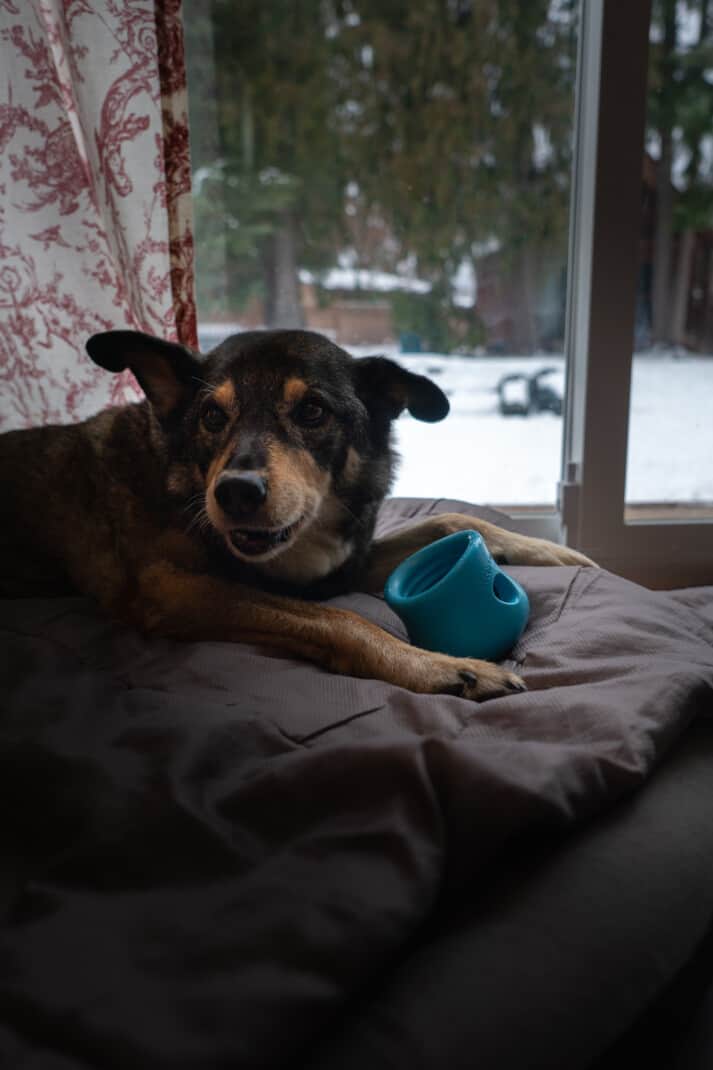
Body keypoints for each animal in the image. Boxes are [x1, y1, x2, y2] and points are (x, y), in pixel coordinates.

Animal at [0, 331, 590, 701]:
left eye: (312, 411)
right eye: (211, 415)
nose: (235, 493)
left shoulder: (338, 568)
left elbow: (448, 523)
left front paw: (556, 551)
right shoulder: (172, 589)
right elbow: (344, 621)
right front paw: (444, 668)